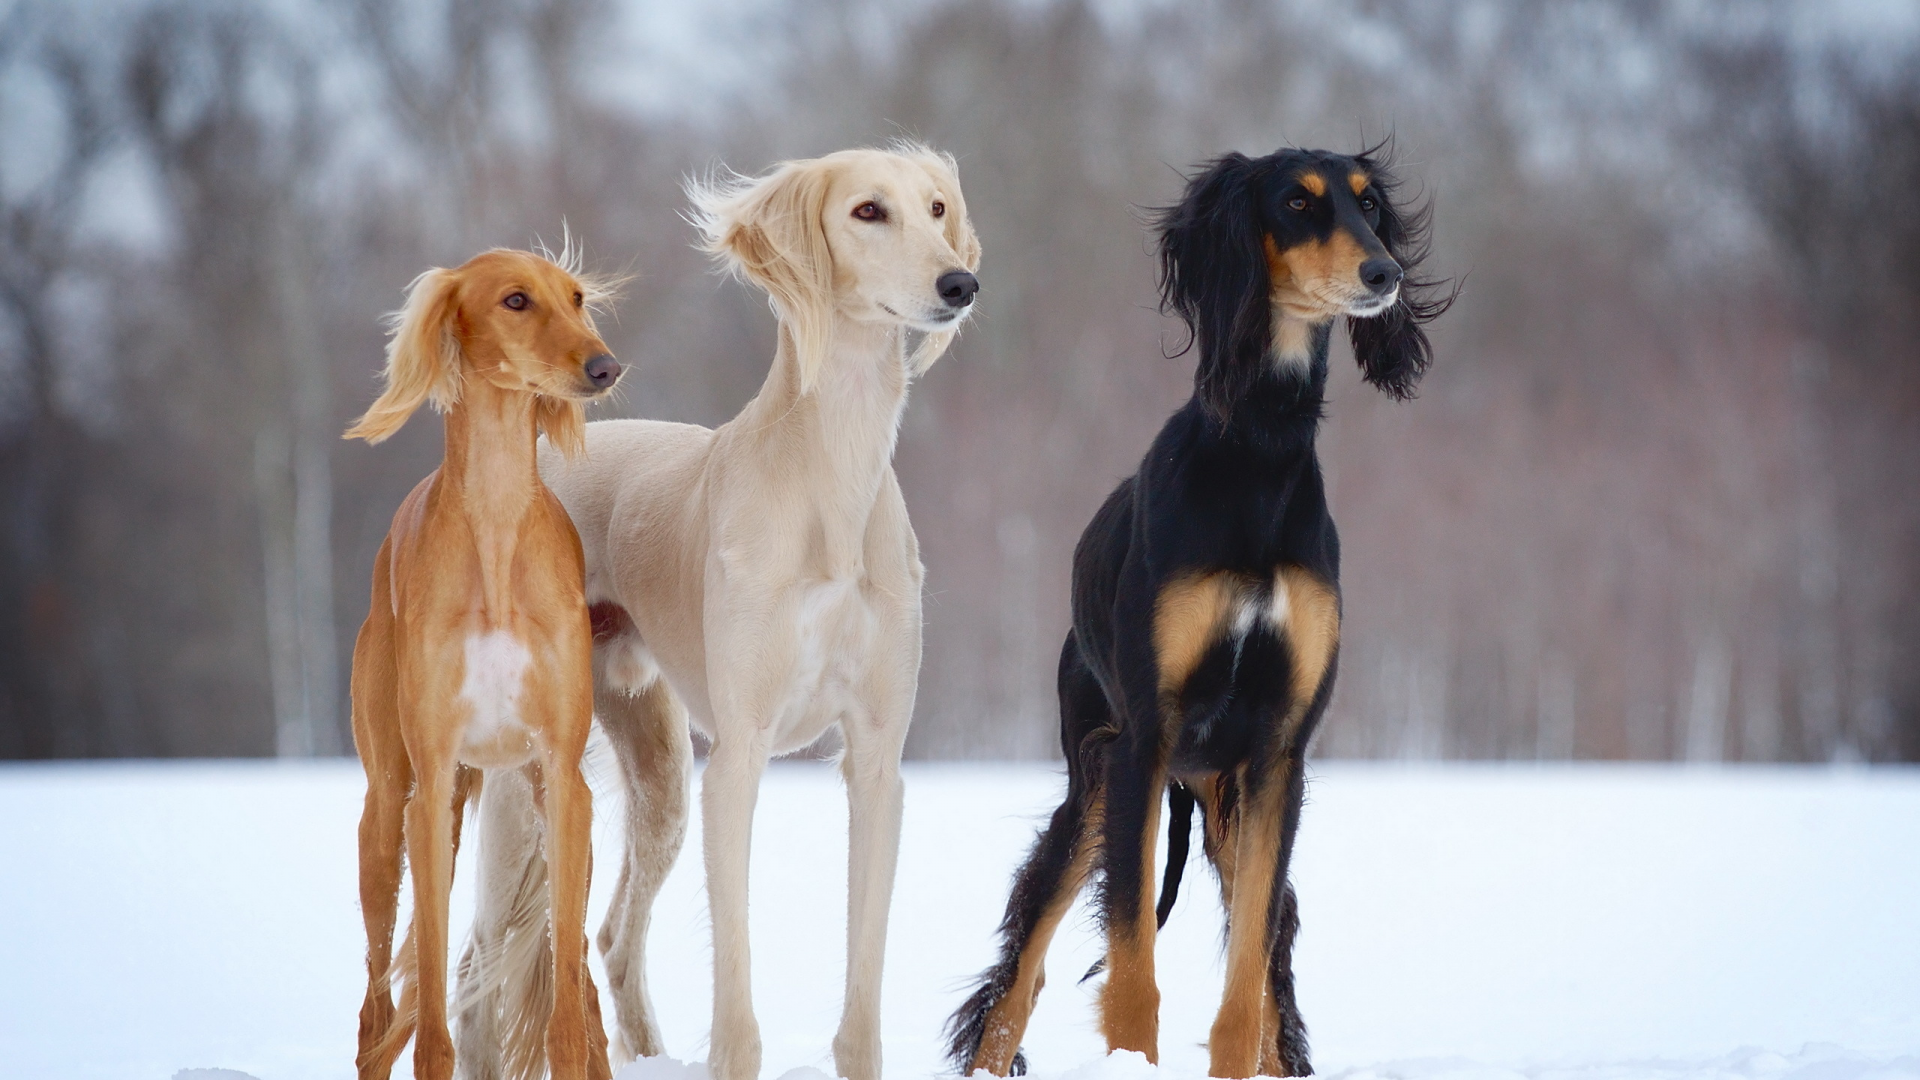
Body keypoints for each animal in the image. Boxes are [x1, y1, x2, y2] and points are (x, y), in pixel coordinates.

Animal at [341, 245, 618, 1076]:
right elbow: (429, 1022)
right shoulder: (430, 789)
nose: (605, 366)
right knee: (375, 1012)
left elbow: (568, 1013)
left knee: (584, 989)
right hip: (387, 816)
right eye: (515, 300)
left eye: (577, 297)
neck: (496, 527)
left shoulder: (563, 778)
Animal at [455, 147, 975, 1076]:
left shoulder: (878, 757)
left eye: (938, 208)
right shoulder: (739, 755)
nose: (961, 283)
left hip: (658, 772)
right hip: (529, 780)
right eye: (868, 211)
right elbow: (735, 978)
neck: (831, 478)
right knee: (481, 967)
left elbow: (863, 982)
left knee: (613, 937)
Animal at [944, 145, 1451, 1076]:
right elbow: (1130, 968)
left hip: (1219, 800)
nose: (1385, 274)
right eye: (1297, 203)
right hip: (1095, 785)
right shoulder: (1144, 738)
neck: (1258, 447)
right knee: (1016, 984)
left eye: (1369, 207)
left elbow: (1249, 981)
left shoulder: (1279, 755)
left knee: (1274, 977)